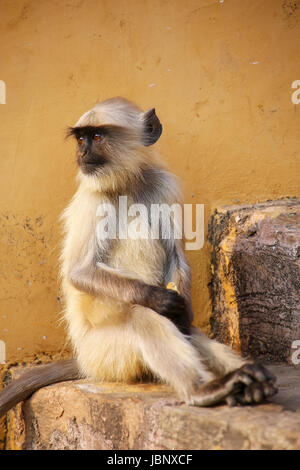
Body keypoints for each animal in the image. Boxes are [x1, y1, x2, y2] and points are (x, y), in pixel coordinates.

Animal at [0, 96, 276, 414]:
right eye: (81, 138)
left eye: (96, 137)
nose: (82, 152)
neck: (126, 184)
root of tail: (83, 362)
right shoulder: (93, 199)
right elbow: (80, 272)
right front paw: (159, 298)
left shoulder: (162, 184)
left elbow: (175, 256)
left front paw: (182, 310)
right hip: (105, 355)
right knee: (141, 315)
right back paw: (204, 389)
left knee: (185, 329)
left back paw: (246, 379)